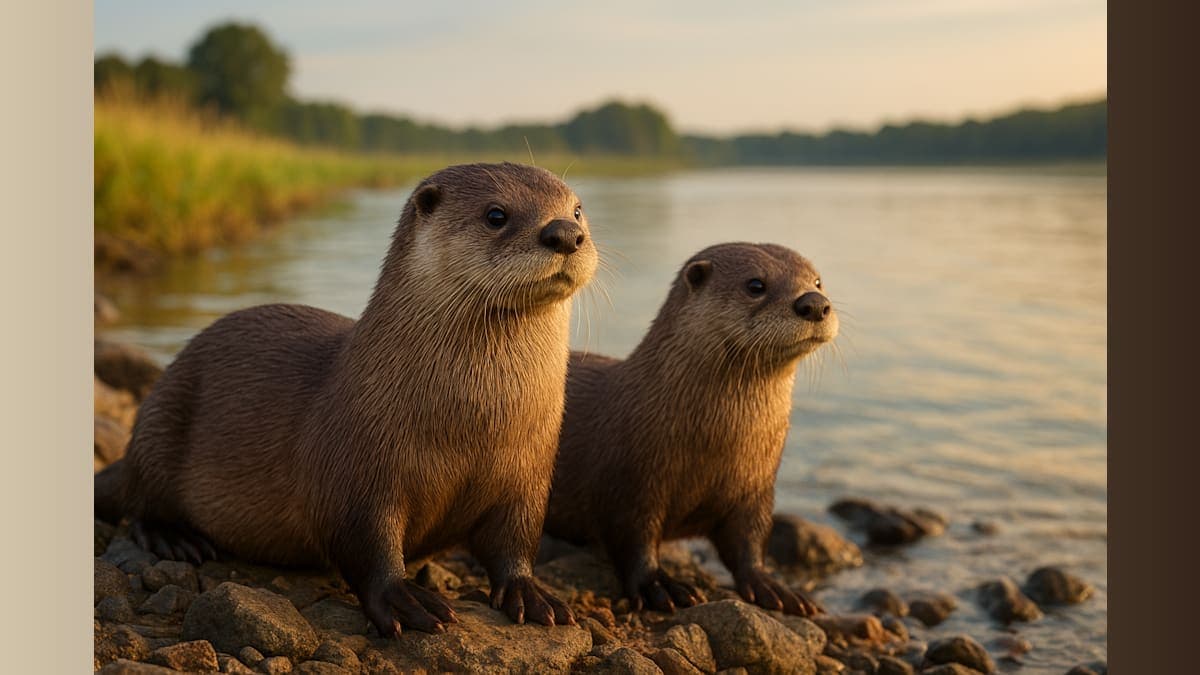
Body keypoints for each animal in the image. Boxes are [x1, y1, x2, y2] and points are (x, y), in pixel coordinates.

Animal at [94, 163, 598, 635]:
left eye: (577, 209)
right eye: (496, 215)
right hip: (162, 420)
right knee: (138, 500)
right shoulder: (357, 471)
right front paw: (403, 598)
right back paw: (173, 537)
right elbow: (365, 543)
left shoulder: (529, 475)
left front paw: (529, 592)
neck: (474, 423)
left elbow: (515, 540)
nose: (565, 234)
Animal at [544, 242, 837, 617]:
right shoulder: (632, 481)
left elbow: (750, 541)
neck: (715, 444)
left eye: (818, 281)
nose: (814, 303)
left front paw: (773, 586)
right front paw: (659, 585)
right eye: (756, 285)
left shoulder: (756, 488)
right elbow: (633, 538)